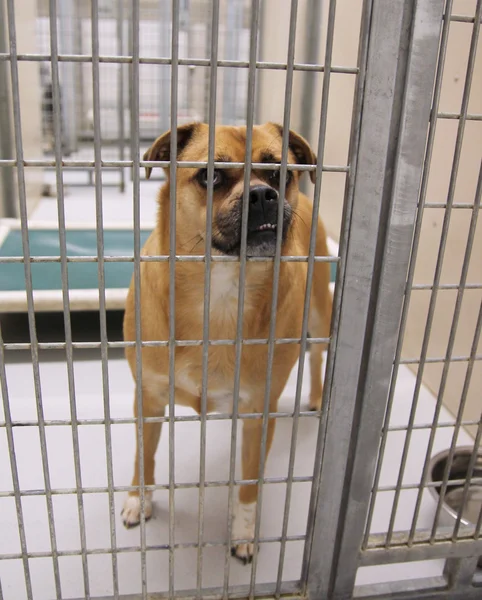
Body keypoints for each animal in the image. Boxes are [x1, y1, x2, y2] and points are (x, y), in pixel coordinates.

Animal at [120, 120, 332, 564]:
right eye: (210, 176)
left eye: (280, 174)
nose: (263, 194)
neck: (222, 288)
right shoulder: (147, 398)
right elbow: (144, 454)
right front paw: (139, 499)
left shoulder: (258, 413)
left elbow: (249, 483)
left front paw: (244, 530)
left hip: (321, 313)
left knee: (318, 354)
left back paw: (318, 396)